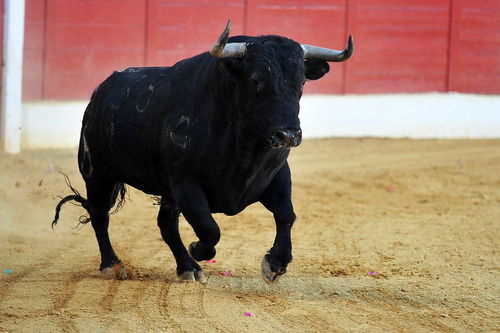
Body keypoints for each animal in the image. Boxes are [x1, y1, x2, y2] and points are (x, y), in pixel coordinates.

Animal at [52, 22, 354, 282]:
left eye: (301, 83)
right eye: (256, 81)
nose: (289, 135)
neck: (244, 148)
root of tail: (101, 92)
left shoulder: (278, 175)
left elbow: (286, 215)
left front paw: (275, 263)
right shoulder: (185, 183)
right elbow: (209, 227)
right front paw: (198, 249)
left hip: (159, 189)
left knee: (165, 224)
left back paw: (187, 268)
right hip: (98, 173)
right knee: (100, 215)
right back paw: (113, 265)